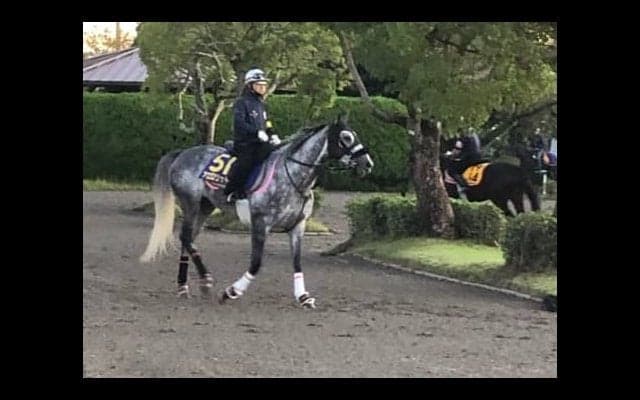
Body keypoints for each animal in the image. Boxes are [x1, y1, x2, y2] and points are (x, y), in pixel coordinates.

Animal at [139, 114, 374, 309]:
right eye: (346, 137)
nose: (368, 163)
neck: (292, 175)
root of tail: (183, 153)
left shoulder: (298, 226)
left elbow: (297, 262)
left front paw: (303, 296)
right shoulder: (261, 223)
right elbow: (256, 263)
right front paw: (231, 292)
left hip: (206, 207)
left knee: (188, 240)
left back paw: (184, 286)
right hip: (190, 203)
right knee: (186, 237)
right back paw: (205, 280)